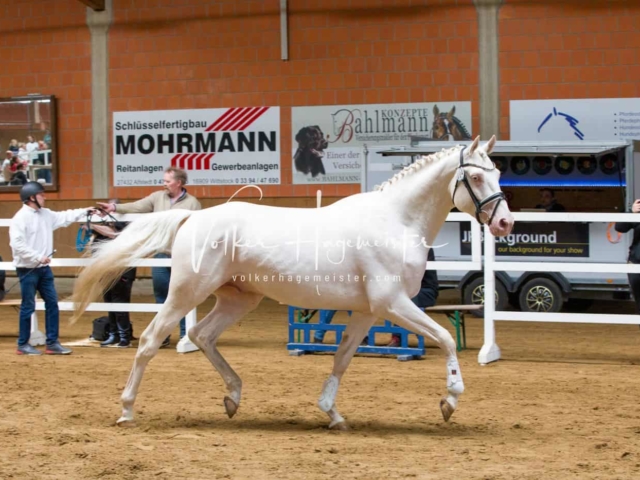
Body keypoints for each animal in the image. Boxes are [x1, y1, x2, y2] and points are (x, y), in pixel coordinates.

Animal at [70, 136, 512, 432]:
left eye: (497, 172)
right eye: (475, 177)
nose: (505, 223)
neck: (395, 220)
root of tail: (192, 217)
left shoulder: (370, 311)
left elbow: (342, 357)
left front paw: (332, 413)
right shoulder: (393, 304)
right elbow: (446, 338)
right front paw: (449, 400)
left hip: (238, 299)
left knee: (201, 334)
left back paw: (232, 397)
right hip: (186, 292)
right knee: (150, 340)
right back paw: (127, 409)